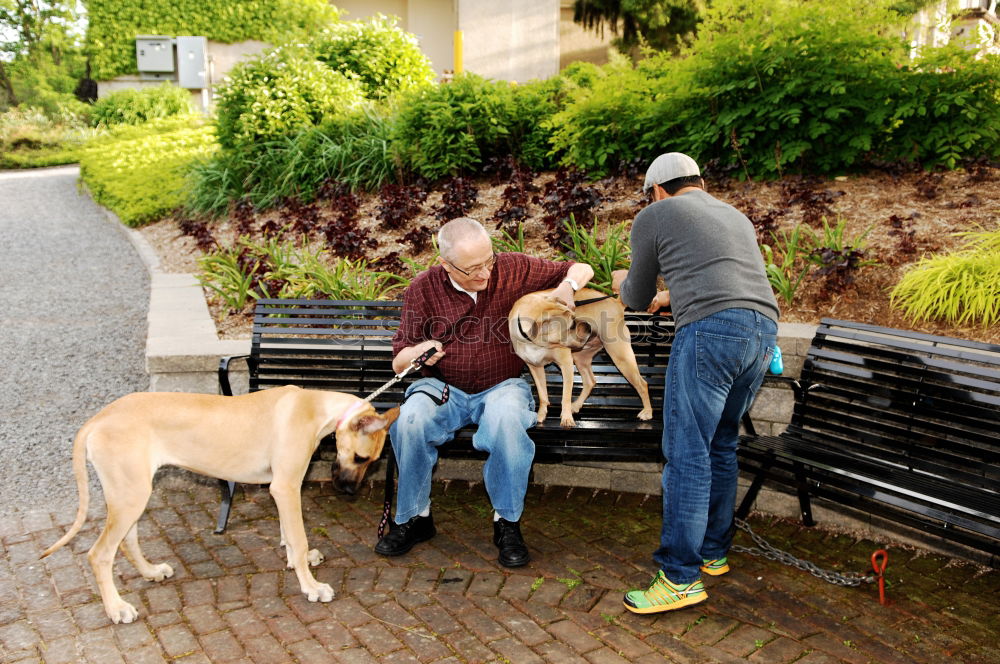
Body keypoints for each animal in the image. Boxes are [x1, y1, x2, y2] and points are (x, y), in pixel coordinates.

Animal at [40, 386, 398, 624]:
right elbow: (297, 537)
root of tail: (99, 418)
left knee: (127, 541)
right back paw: (116, 608)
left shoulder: (282, 488)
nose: (349, 490)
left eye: (371, 462)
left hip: (132, 493)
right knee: (100, 554)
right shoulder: (285, 486)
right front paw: (310, 585)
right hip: (130, 495)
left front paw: (298, 561)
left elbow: (288, 533)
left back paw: (150, 572)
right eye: (361, 458)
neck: (316, 406)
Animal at [508, 290, 656, 426]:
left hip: (621, 357)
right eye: (571, 325)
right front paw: (541, 415)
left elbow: (566, 396)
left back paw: (647, 412)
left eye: (574, 315)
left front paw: (566, 418)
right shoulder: (535, 367)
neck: (535, 343)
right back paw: (576, 405)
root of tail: (616, 302)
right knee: (590, 381)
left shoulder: (566, 364)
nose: (588, 326)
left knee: (642, 384)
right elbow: (542, 394)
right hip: (581, 358)